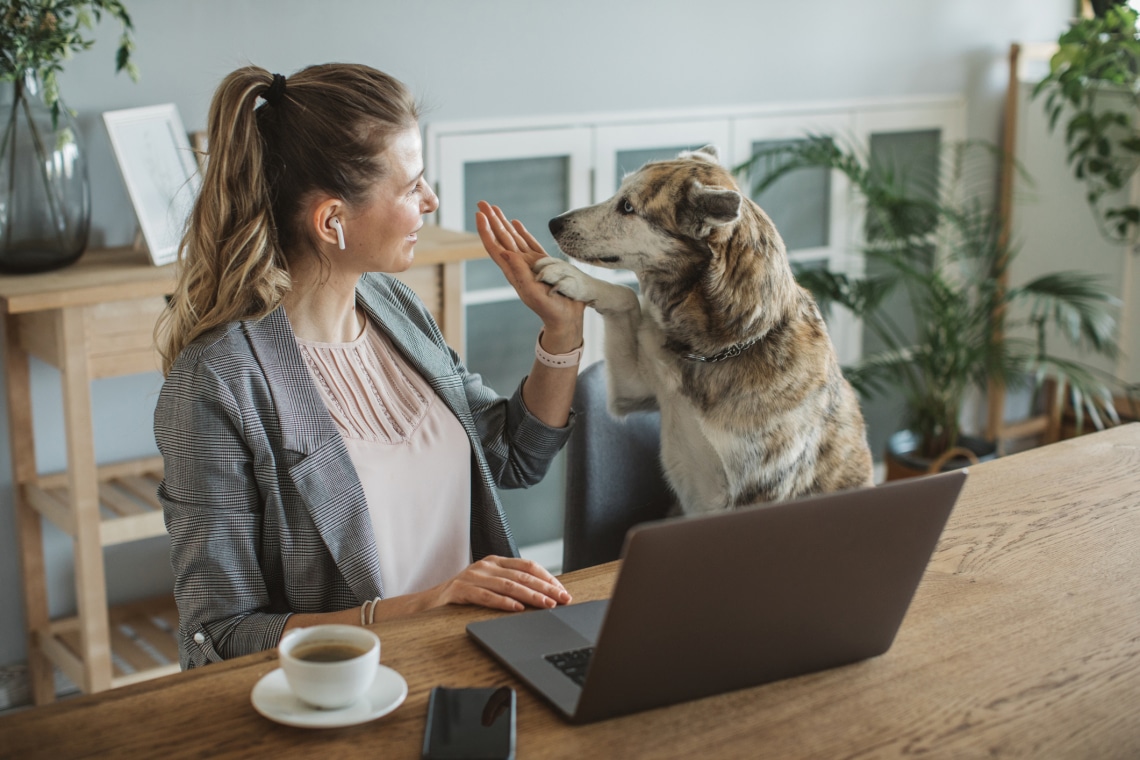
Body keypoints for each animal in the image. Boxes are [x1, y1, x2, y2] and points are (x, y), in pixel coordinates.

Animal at [533, 145, 870, 515]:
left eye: (627, 207)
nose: (553, 223)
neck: (718, 349)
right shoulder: (633, 390)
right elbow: (626, 297)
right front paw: (576, 280)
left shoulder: (757, 494)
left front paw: (571, 275)